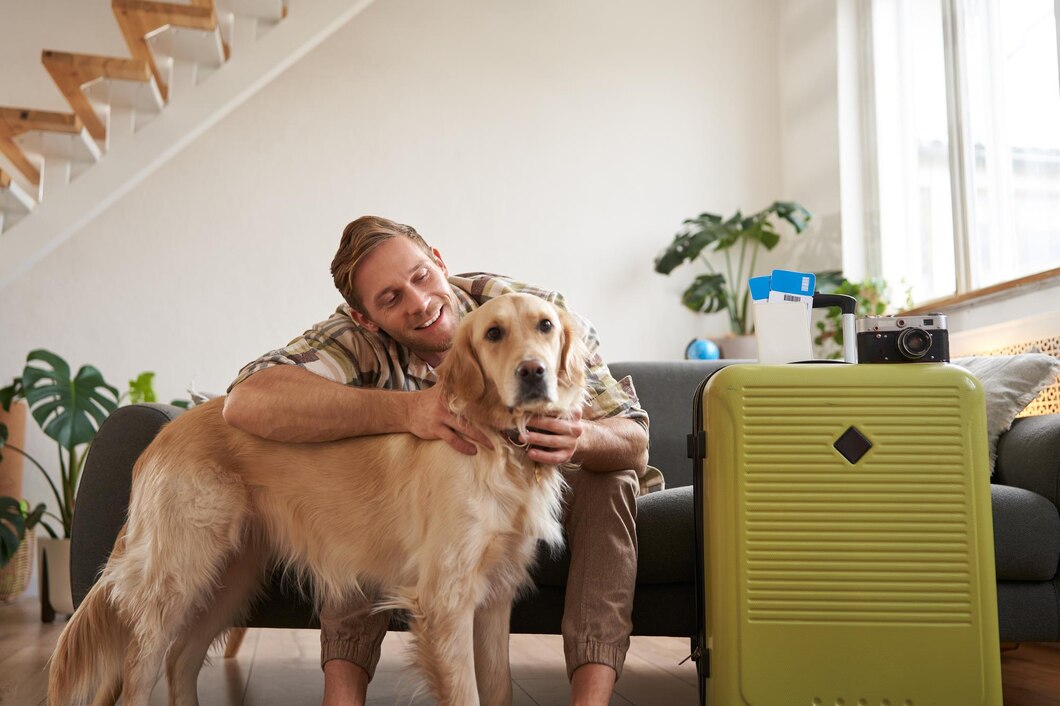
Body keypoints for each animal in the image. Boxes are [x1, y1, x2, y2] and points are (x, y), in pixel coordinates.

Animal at [47, 292, 589, 703]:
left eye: (544, 325)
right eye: (493, 334)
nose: (533, 372)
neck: (501, 446)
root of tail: (165, 430)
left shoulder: (495, 597)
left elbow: (497, 687)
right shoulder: (445, 599)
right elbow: (466, 693)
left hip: (228, 579)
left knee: (181, 661)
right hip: (178, 576)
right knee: (140, 671)